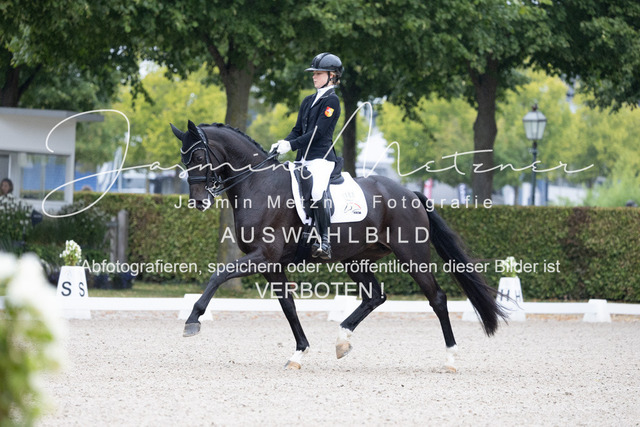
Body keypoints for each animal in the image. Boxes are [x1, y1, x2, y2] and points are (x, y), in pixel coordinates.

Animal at [171, 120, 506, 371]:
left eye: (199, 157)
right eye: (183, 159)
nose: (198, 202)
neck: (258, 184)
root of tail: (409, 193)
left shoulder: (262, 256)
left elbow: (218, 275)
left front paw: (192, 320)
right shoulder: (271, 265)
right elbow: (288, 305)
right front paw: (299, 353)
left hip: (412, 255)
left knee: (436, 298)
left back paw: (450, 357)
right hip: (355, 259)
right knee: (375, 296)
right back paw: (342, 341)